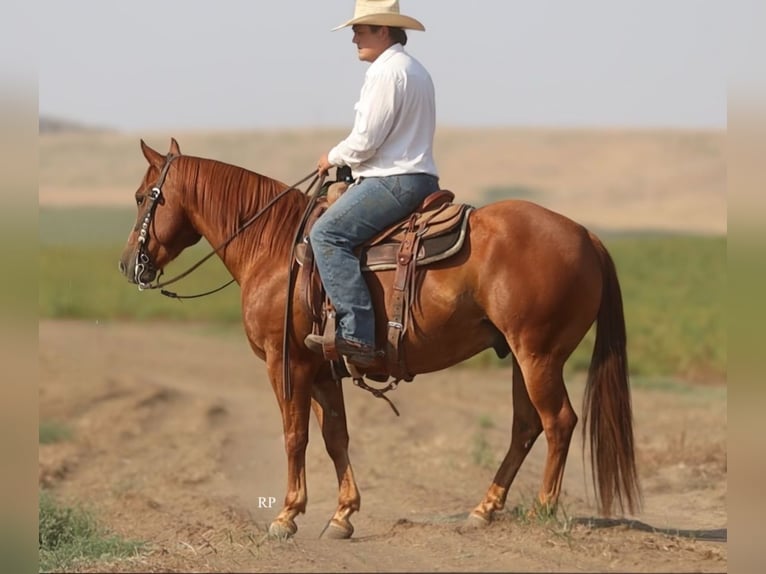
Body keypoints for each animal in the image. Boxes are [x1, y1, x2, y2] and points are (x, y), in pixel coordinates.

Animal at [118, 138, 640, 539]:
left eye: (145, 196)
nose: (128, 265)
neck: (274, 246)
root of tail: (586, 235)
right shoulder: (322, 369)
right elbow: (335, 437)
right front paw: (342, 515)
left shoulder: (285, 364)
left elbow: (294, 435)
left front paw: (287, 515)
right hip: (519, 356)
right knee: (526, 427)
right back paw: (484, 509)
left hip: (538, 355)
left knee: (559, 422)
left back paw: (543, 507)